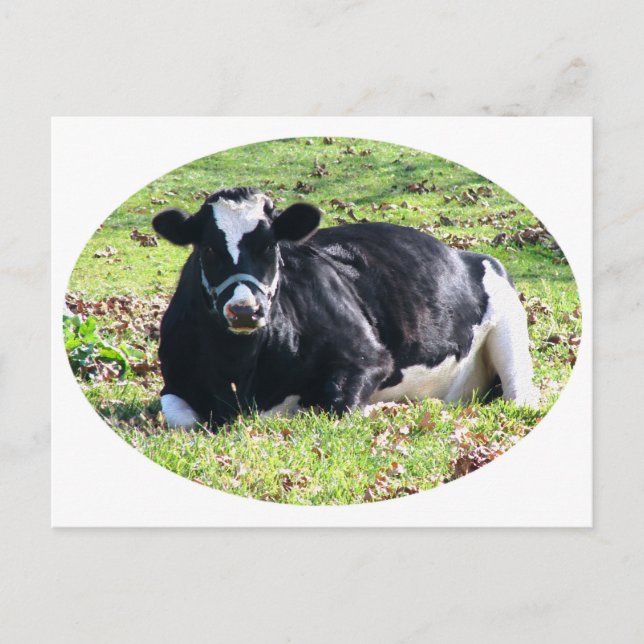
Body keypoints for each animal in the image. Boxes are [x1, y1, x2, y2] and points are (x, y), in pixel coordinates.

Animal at [152, 187, 538, 428]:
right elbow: (180, 417)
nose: (245, 310)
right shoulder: (174, 381)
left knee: (521, 398)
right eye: (208, 248)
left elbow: (336, 405)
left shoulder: (368, 358)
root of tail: (464, 253)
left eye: (270, 246)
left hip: (510, 329)